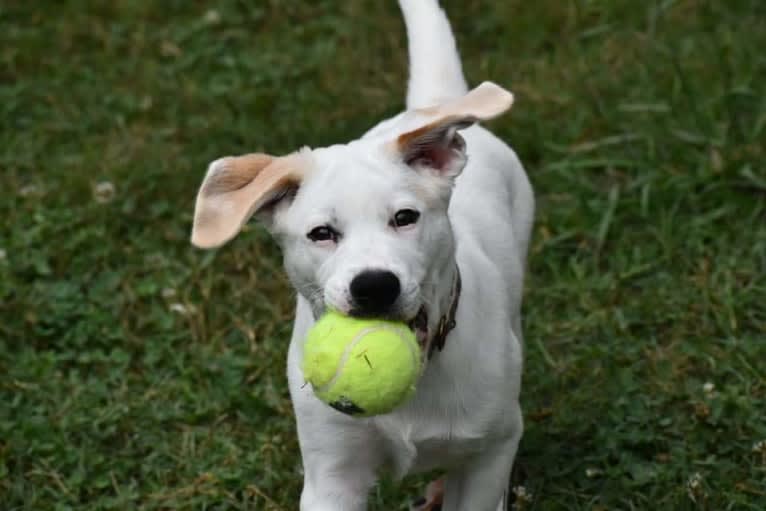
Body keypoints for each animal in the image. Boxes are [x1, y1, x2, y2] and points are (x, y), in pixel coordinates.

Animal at [190, 1, 536, 511]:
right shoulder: (332, 473)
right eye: (321, 233)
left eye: (405, 217)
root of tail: (425, 106)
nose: (374, 286)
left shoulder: (489, 454)